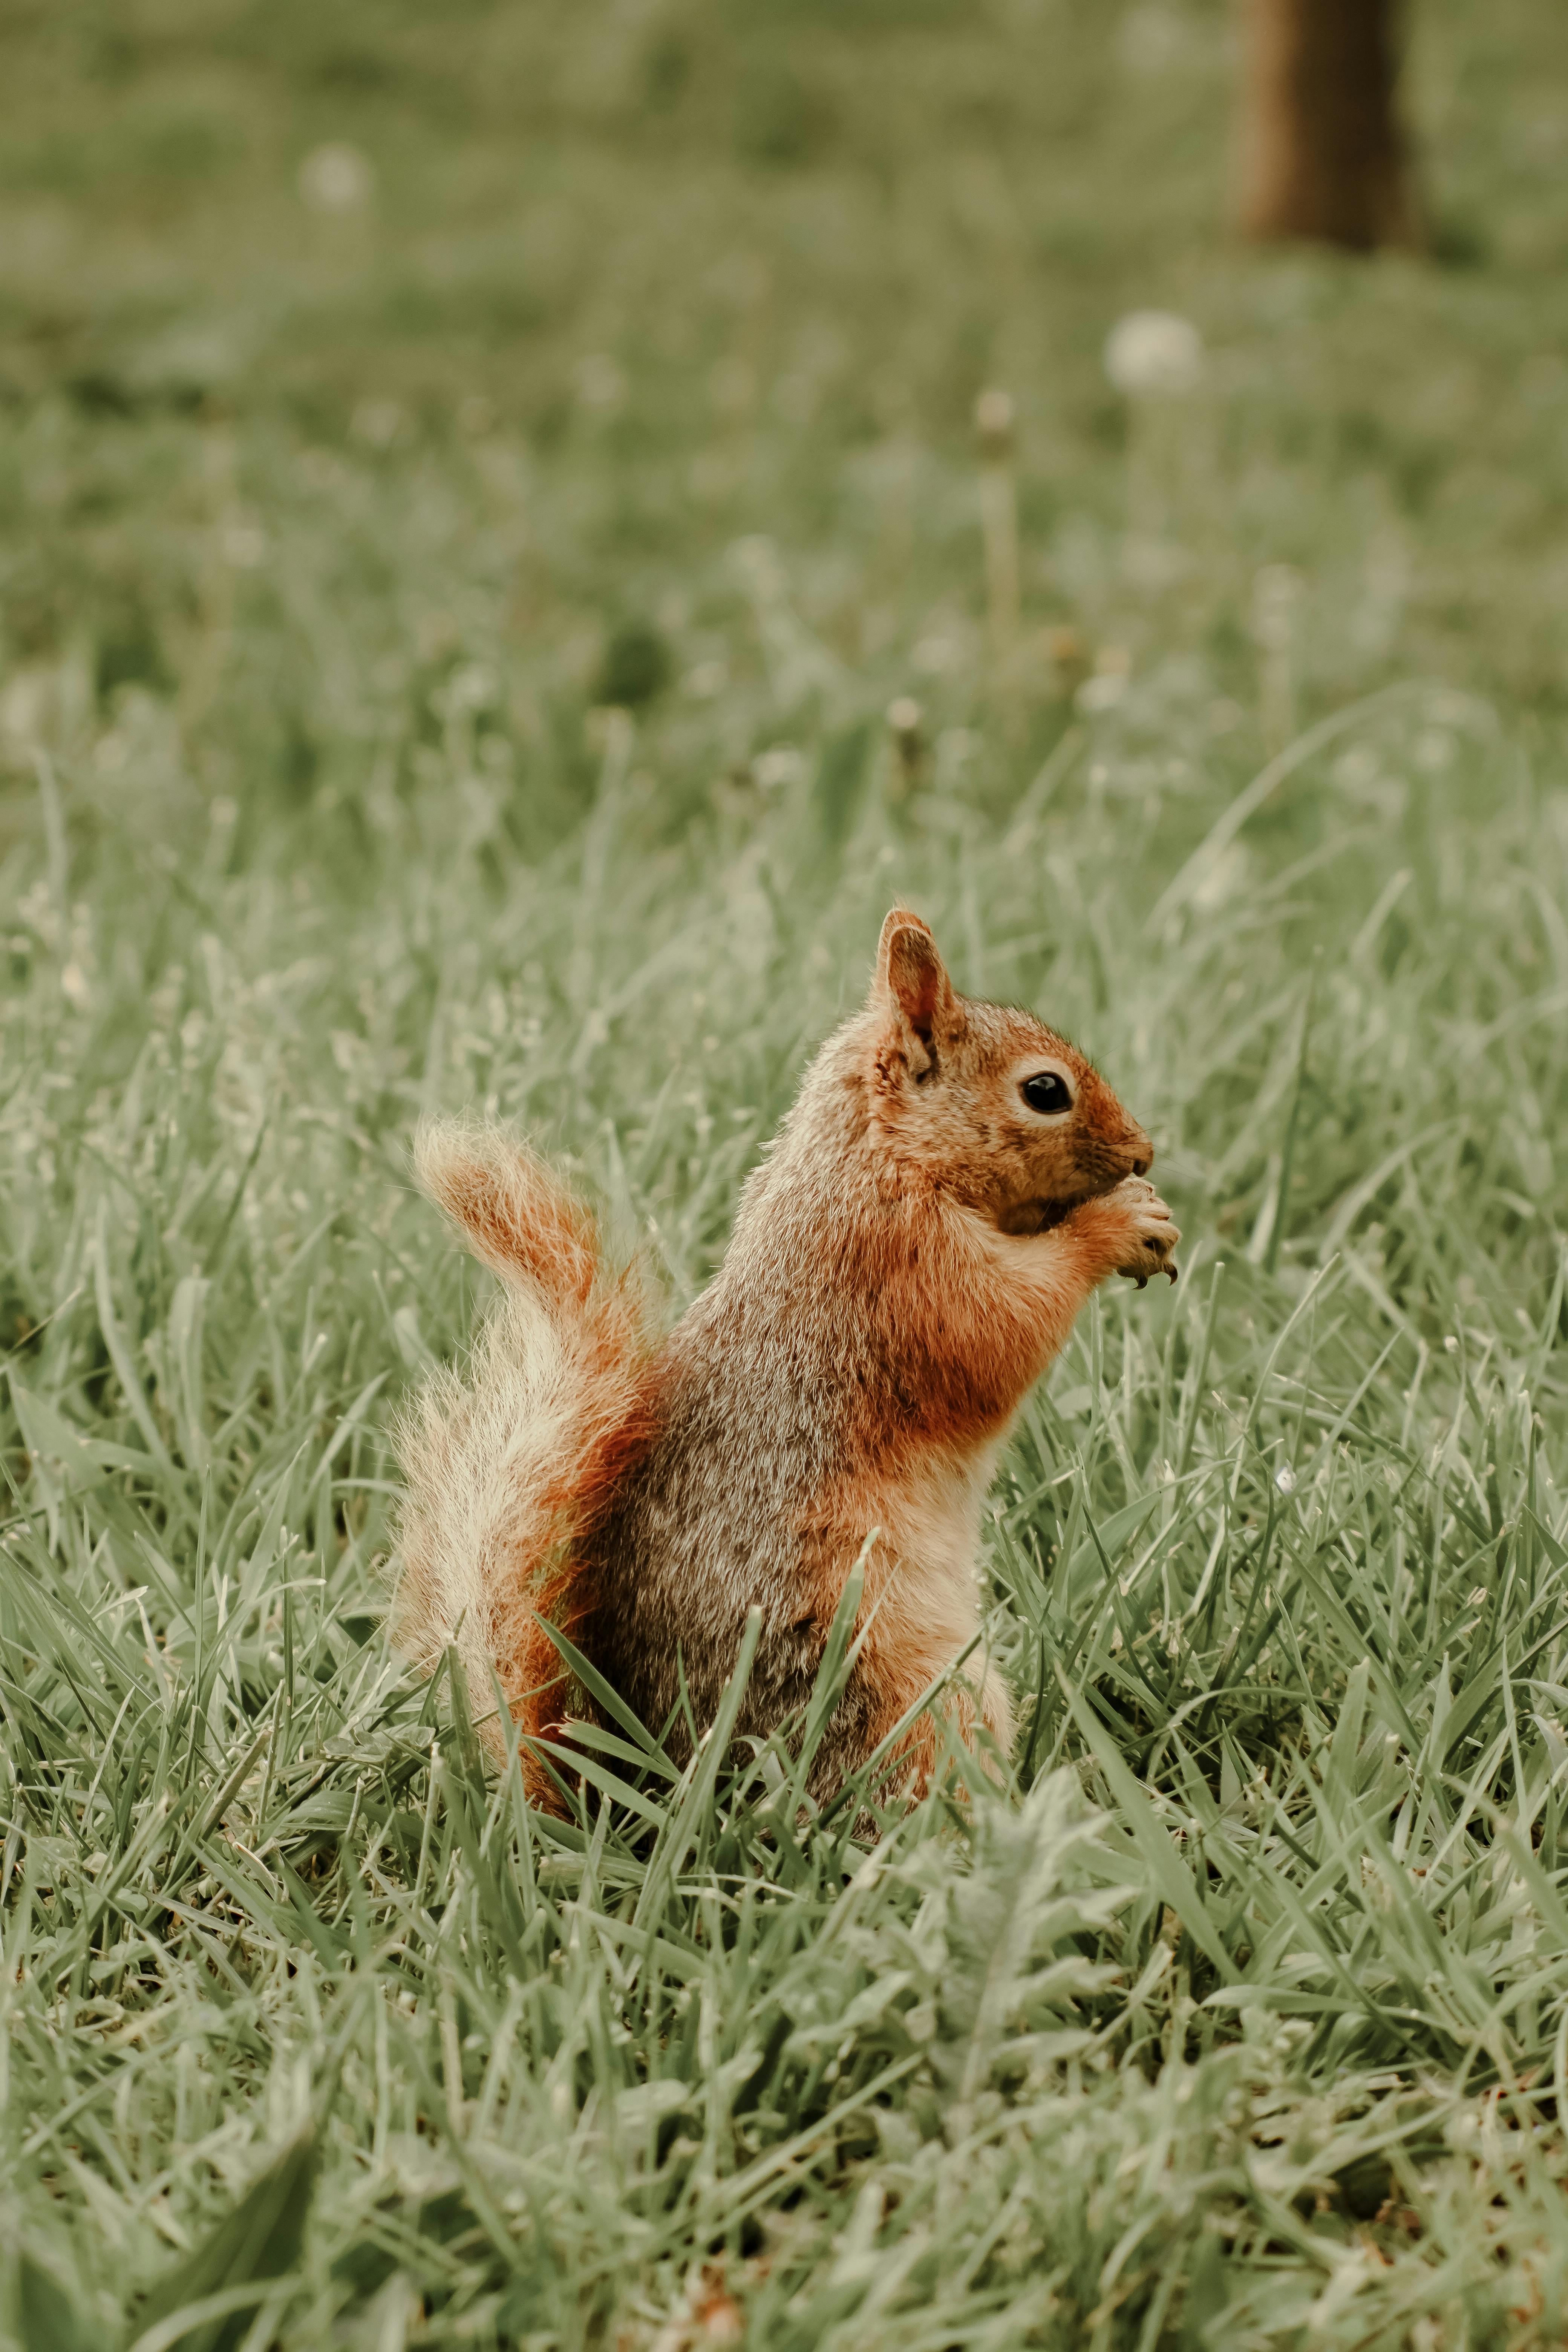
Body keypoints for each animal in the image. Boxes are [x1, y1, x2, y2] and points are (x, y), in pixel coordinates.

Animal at [393, 908, 1178, 1808]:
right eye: (1045, 1091)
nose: (1144, 1153)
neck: (876, 1156)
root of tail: (644, 1798)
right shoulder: (900, 1270)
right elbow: (996, 1331)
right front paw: (1117, 1226)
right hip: (887, 1683)